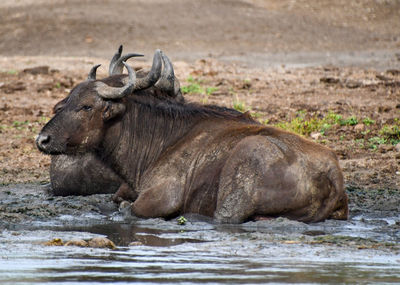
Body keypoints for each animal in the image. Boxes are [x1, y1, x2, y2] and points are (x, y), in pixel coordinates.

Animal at [37, 52, 346, 223]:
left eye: (87, 106)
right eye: (70, 97)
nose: (43, 139)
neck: (160, 140)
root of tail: (332, 175)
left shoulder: (159, 199)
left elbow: (125, 208)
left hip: (236, 188)